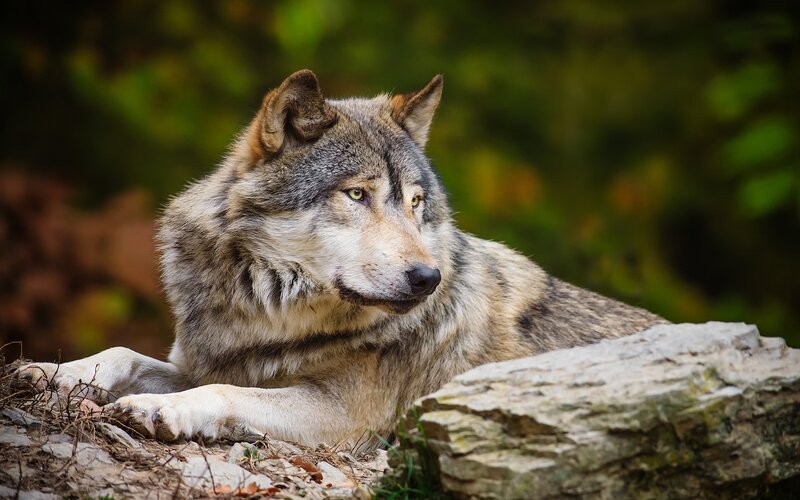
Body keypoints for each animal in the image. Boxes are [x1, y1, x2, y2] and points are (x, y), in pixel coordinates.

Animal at [18, 70, 666, 446]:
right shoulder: (209, 359)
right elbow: (123, 354)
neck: (267, 313)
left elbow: (222, 394)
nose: (427, 277)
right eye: (357, 195)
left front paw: (159, 409)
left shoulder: (344, 417)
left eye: (415, 204)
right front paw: (52, 372)